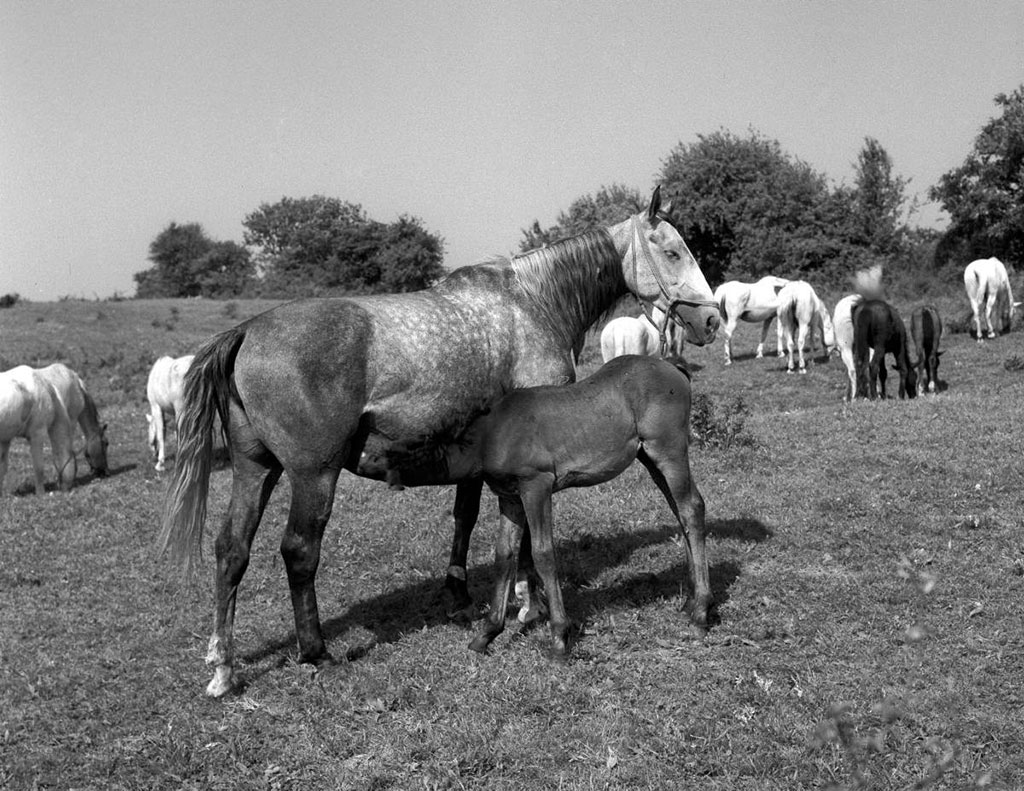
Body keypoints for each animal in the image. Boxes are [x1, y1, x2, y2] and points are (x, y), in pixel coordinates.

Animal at [0, 364, 76, 493]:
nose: (66, 488)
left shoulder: (5, 439)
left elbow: (2, 467)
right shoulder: (37, 434)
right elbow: (38, 468)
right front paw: (41, 493)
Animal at [387, 354, 708, 659]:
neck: (492, 432)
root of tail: (673, 367)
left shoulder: (536, 486)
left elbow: (543, 553)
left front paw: (558, 639)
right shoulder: (510, 497)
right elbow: (504, 555)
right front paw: (486, 635)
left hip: (668, 451)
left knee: (692, 509)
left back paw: (702, 611)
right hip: (650, 459)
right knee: (680, 512)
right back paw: (690, 601)